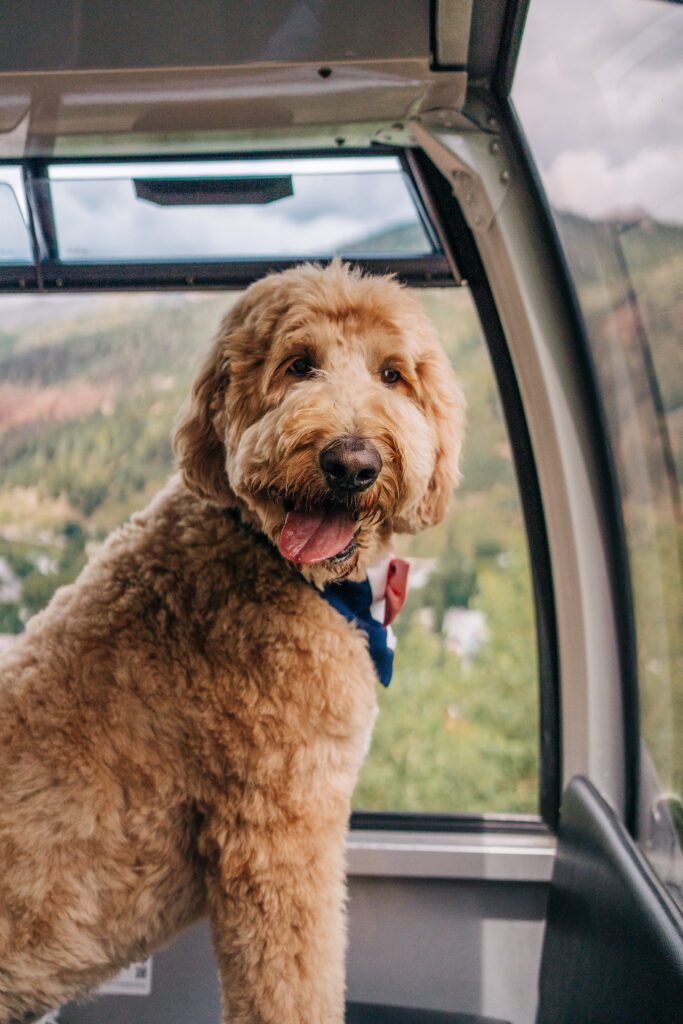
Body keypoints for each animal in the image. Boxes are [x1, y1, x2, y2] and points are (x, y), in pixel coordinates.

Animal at [0, 264, 464, 1024]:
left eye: (392, 374)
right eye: (298, 364)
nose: (351, 462)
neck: (271, 557)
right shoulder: (276, 832)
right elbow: (294, 984)